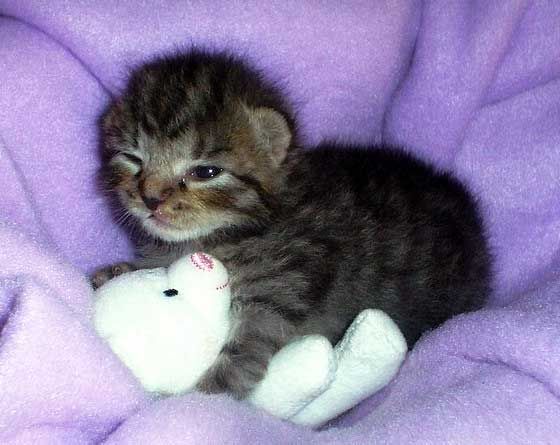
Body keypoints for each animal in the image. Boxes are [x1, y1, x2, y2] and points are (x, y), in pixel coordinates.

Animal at [95, 49, 490, 398]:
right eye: (133, 159)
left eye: (205, 172)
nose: (150, 198)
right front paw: (113, 273)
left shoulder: (282, 290)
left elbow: (245, 352)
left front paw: (204, 395)